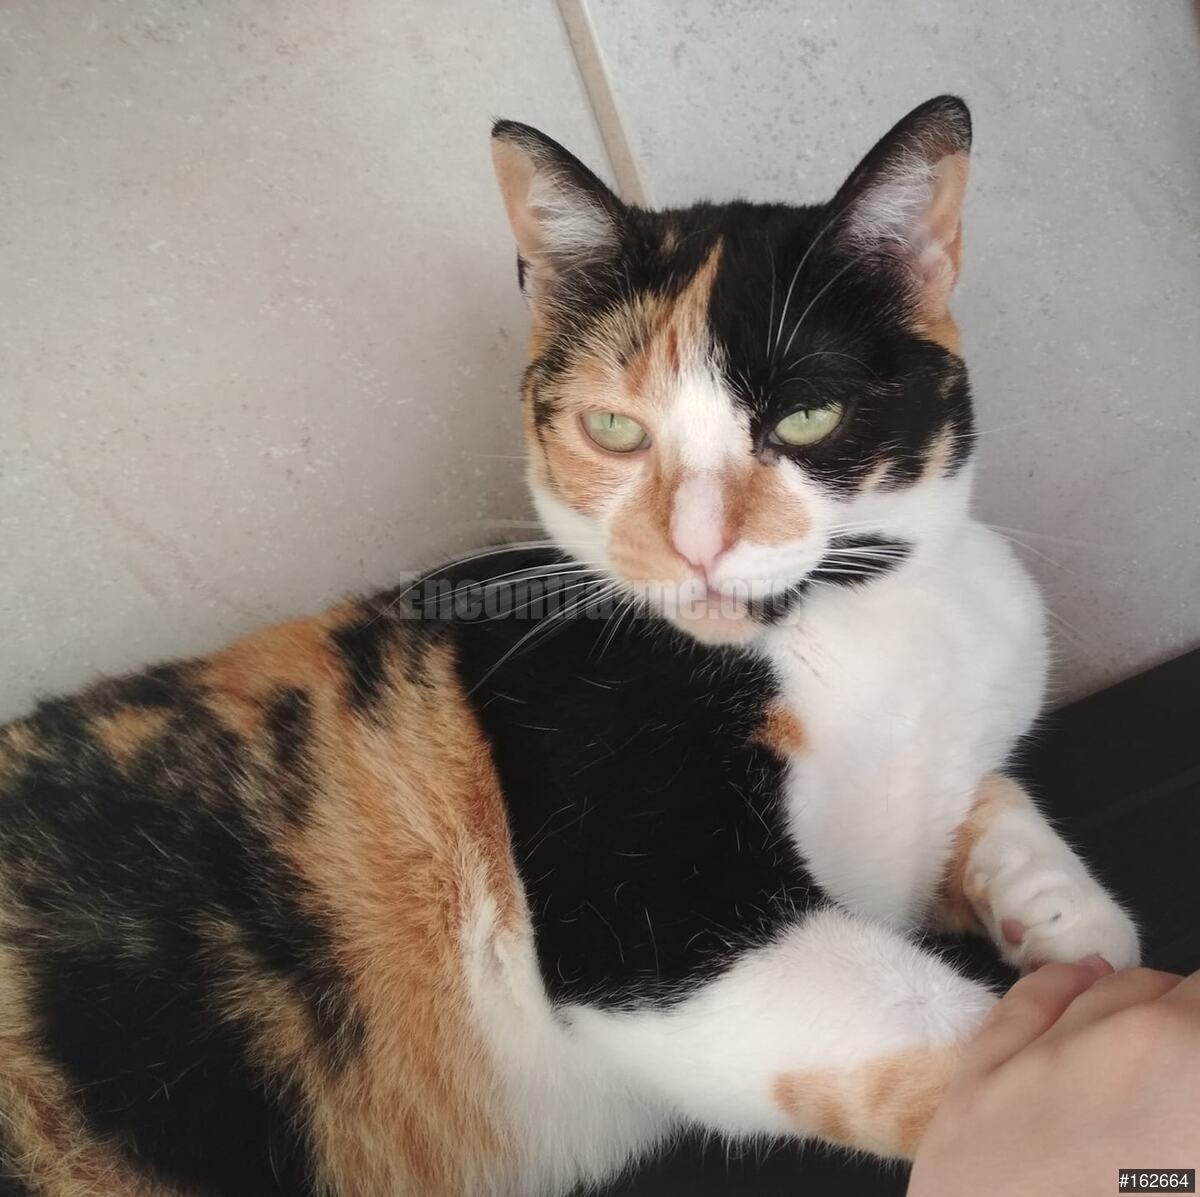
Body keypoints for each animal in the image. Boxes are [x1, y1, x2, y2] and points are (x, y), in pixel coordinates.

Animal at [0, 96, 1138, 1197]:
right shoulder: (659, 920)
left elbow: (993, 801)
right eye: (615, 429)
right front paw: (1085, 1061)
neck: (850, 622)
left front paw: (1072, 923)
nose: (697, 543)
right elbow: (961, 1051)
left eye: (809, 417)